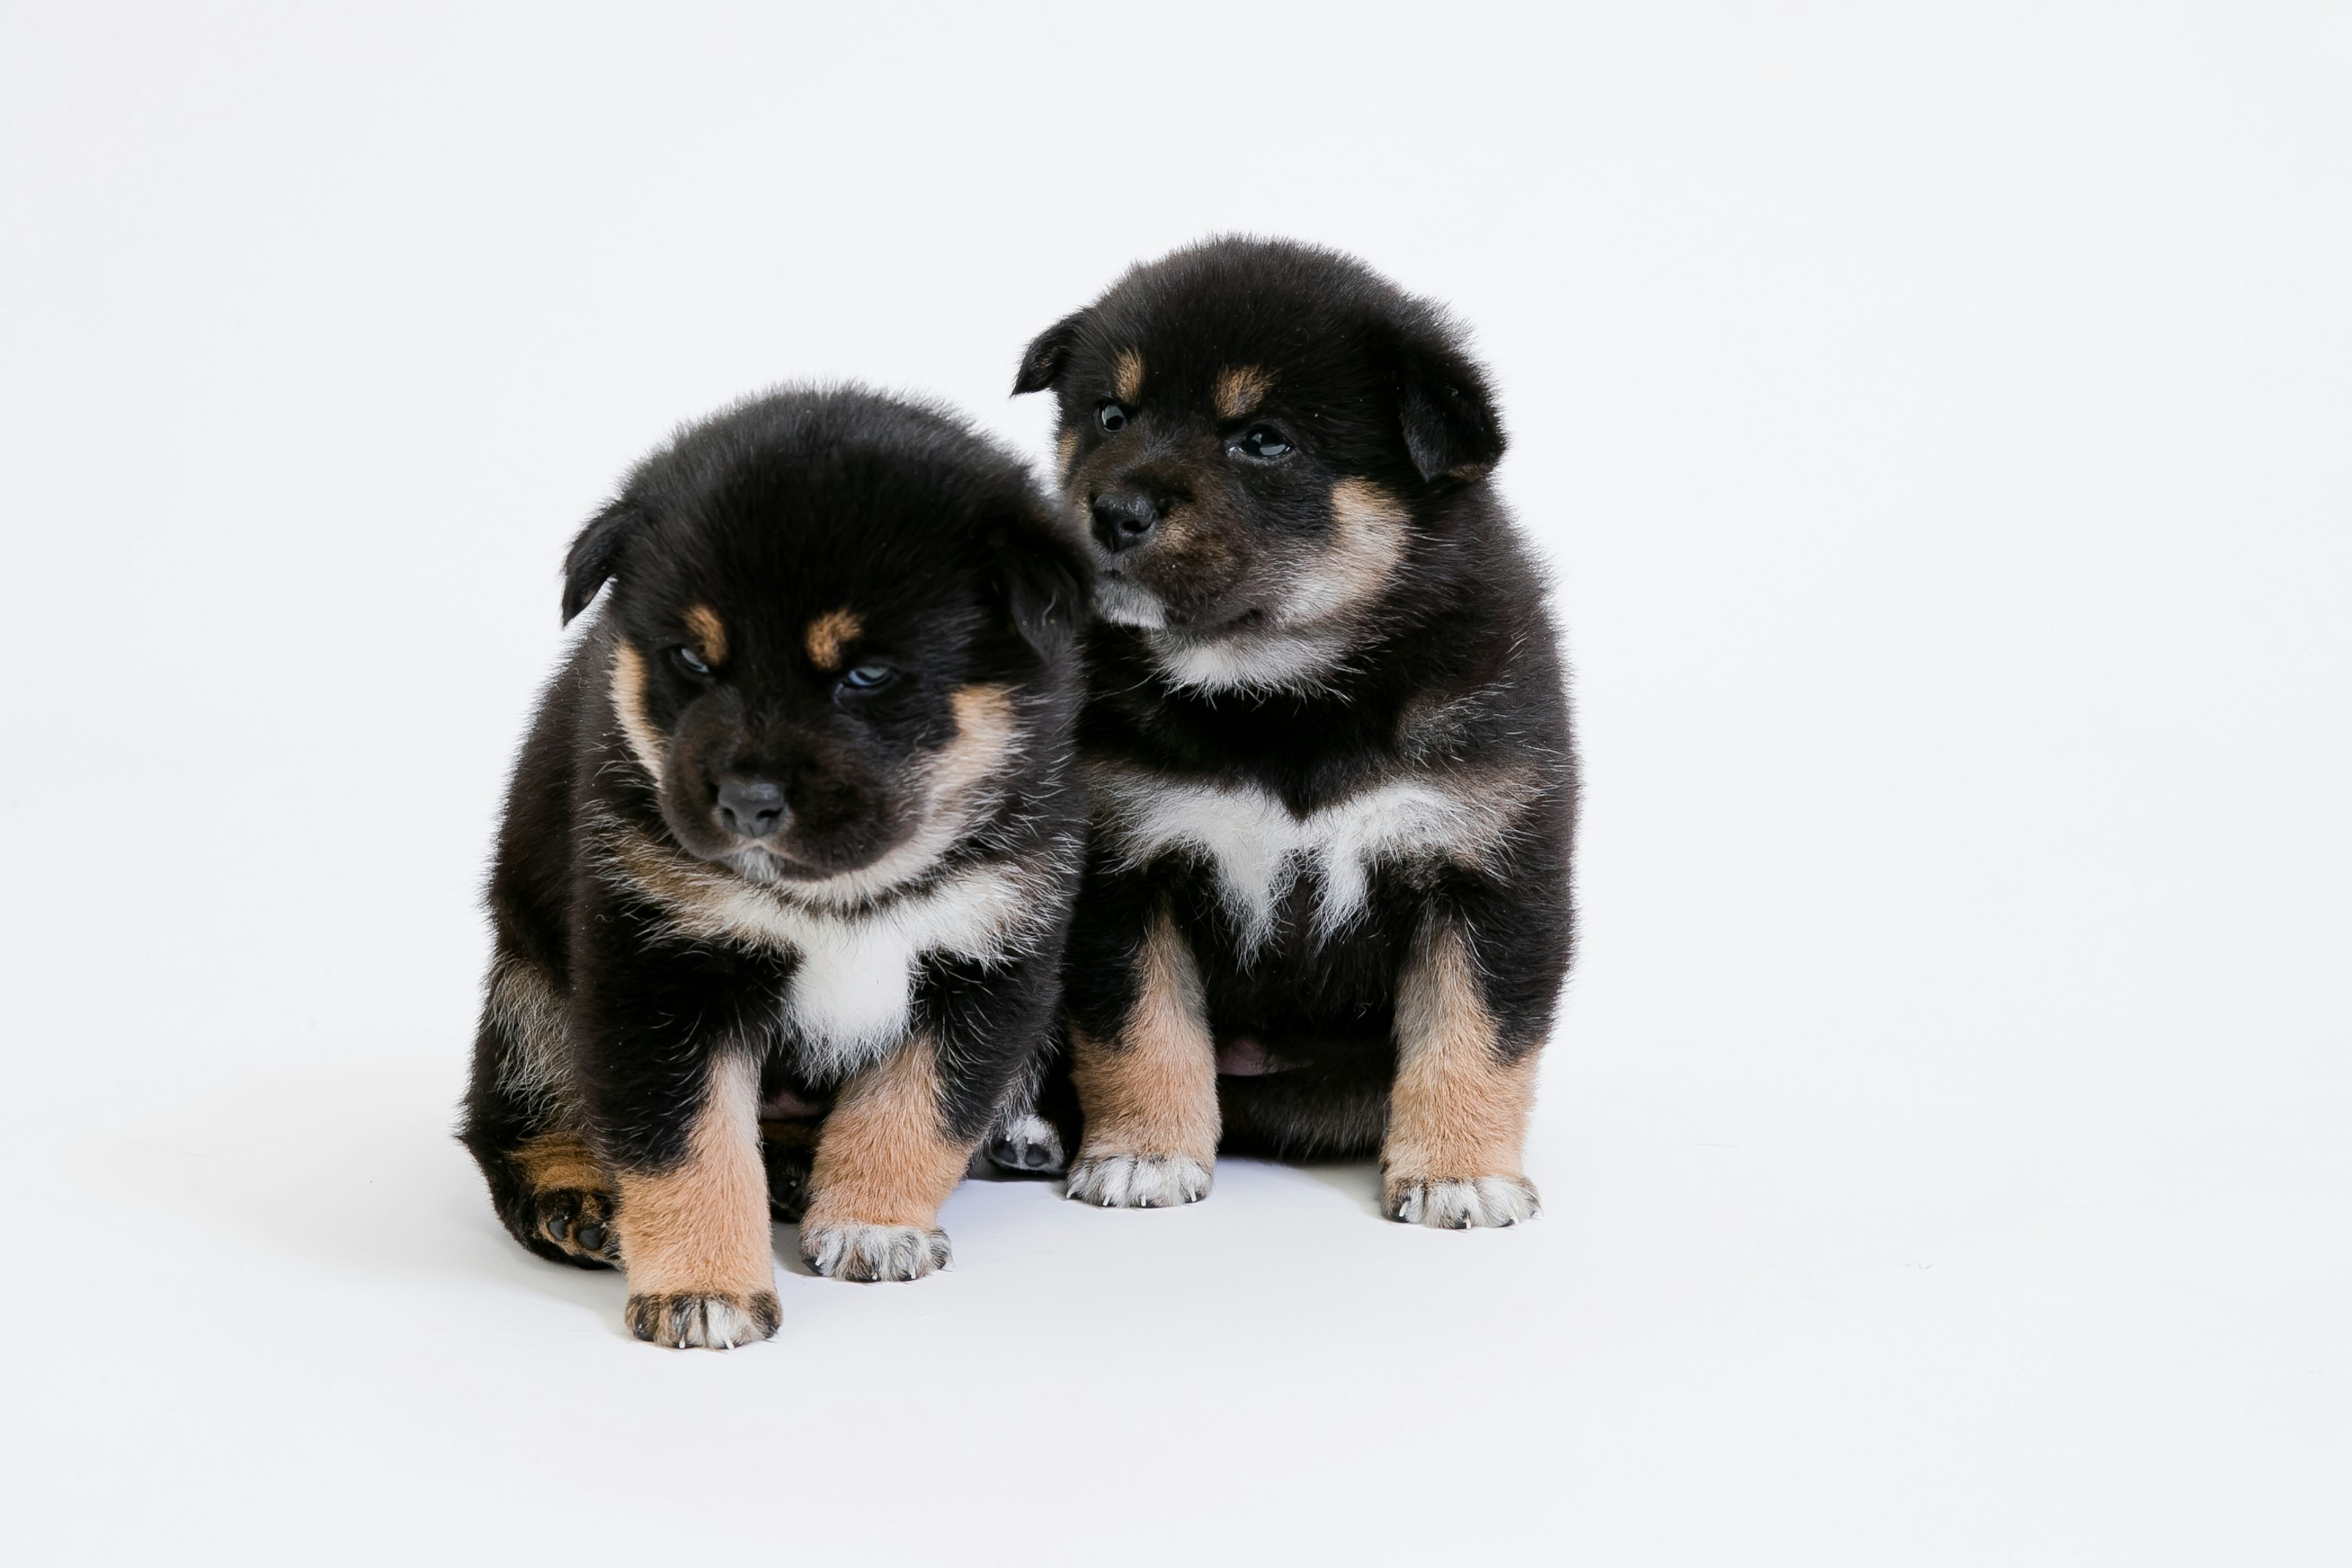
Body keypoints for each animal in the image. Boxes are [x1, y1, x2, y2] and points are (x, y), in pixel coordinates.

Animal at [458, 383, 1091, 1354]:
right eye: (691, 658)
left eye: (867, 674)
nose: (746, 802)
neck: (842, 895)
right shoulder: (662, 969)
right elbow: (687, 1143)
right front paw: (704, 1287)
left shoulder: (987, 955)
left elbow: (917, 1108)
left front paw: (873, 1223)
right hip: (527, 989)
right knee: (518, 1115)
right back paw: (576, 1196)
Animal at [1011, 239, 1580, 1232]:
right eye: (1111, 415)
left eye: (1265, 440)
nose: (1113, 510)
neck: (1281, 702)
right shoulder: (1125, 870)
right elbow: (1141, 1028)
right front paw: (1145, 1153)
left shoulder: (1491, 867)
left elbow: (1475, 1034)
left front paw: (1459, 1171)